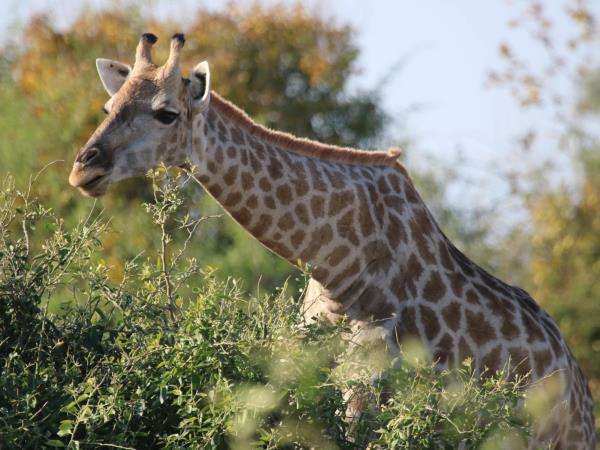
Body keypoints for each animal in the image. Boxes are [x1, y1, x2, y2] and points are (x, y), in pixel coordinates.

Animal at [70, 33, 596, 448]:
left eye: (166, 114)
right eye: (108, 107)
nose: (83, 168)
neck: (339, 263)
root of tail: (581, 394)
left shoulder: (366, 383)